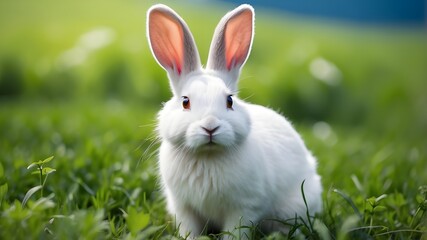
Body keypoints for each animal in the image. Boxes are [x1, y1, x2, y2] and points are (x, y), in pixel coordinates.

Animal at [145, 3, 322, 238]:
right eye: (185, 102)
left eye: (229, 101)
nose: (210, 127)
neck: (207, 157)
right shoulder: (183, 207)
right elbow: (189, 229)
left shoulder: (244, 207)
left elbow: (235, 231)